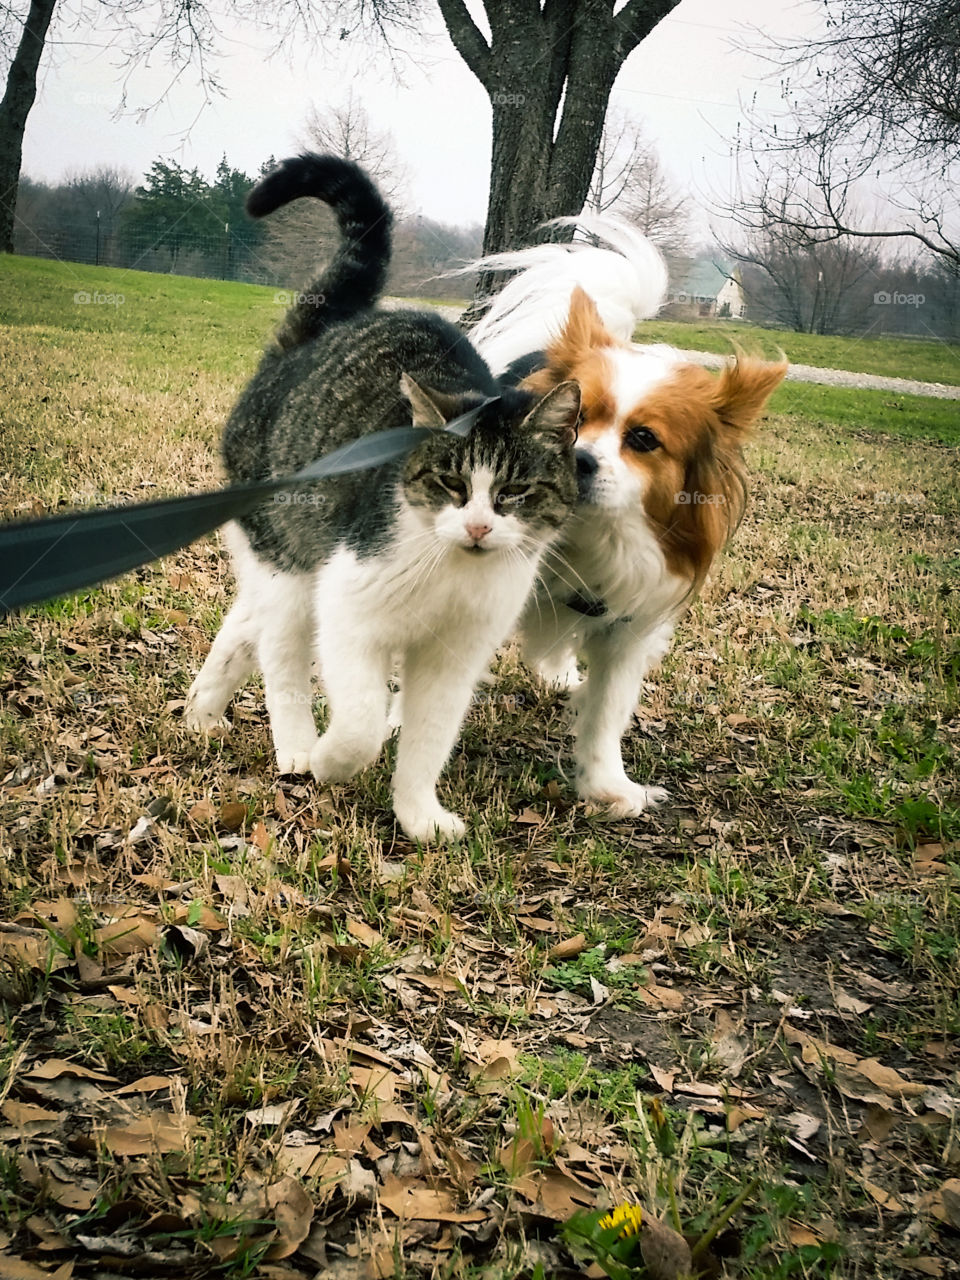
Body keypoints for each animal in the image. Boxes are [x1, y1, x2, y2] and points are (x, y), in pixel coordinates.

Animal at [185, 152, 583, 839]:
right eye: (451, 483)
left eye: (514, 491)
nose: (478, 528)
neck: (449, 571)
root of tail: (309, 341)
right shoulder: (349, 609)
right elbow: (364, 719)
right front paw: (332, 760)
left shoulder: (456, 657)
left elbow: (428, 740)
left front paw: (419, 815)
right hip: (291, 561)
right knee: (281, 652)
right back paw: (296, 743)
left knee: (244, 625)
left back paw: (202, 711)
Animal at [465, 222, 788, 808]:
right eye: (573, 418)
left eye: (643, 439)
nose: (580, 459)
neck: (586, 535)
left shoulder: (628, 629)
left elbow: (607, 712)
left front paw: (607, 786)